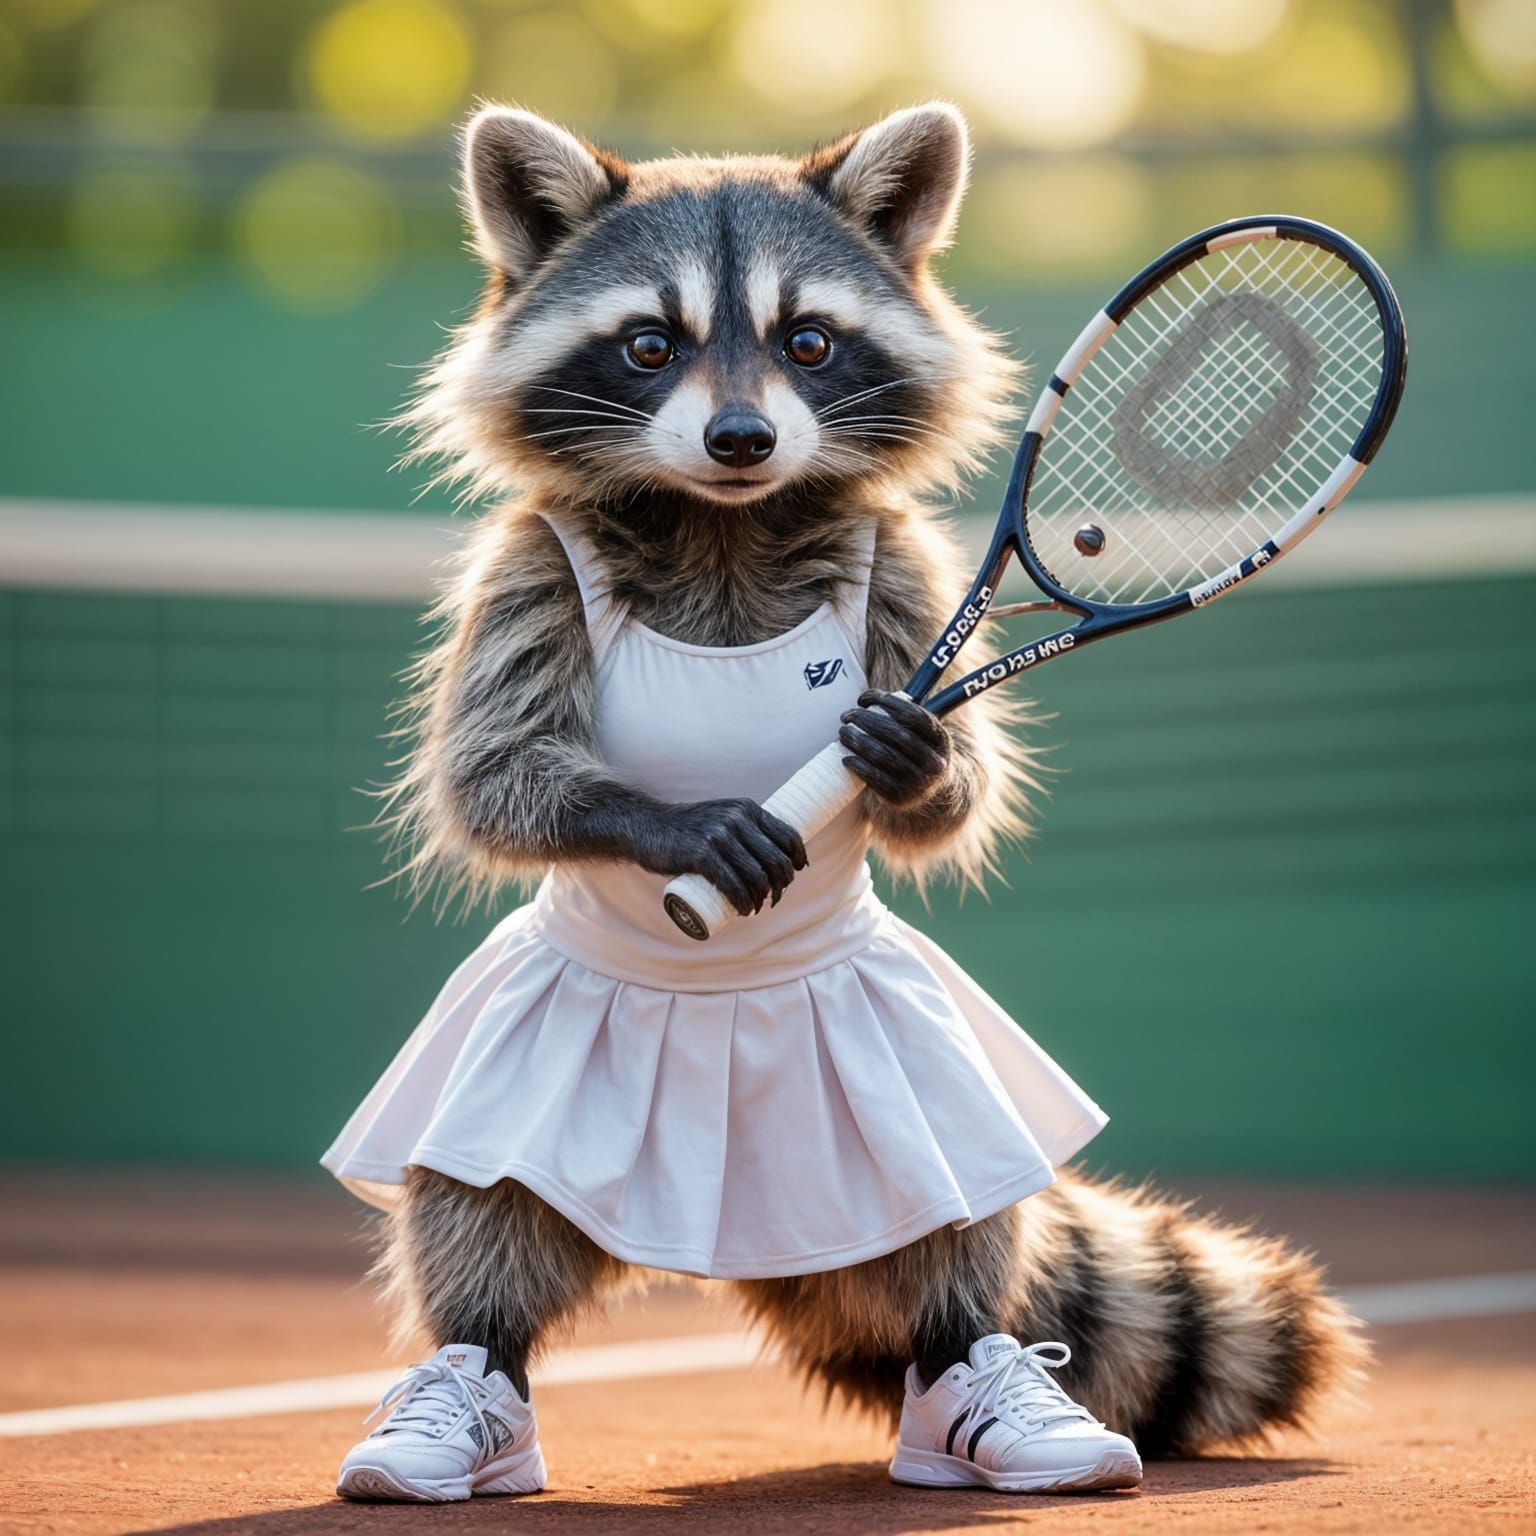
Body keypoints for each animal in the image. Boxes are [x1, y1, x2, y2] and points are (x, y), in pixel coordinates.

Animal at [374, 102, 1363, 1456]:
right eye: (647, 345)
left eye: (809, 340)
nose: (742, 439)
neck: (723, 518)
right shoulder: (528, 569)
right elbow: (496, 772)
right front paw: (678, 827)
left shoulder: (904, 563)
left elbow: (955, 791)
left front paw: (916, 754)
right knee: (476, 1214)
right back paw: (469, 1369)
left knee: (957, 1226)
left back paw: (974, 1362)